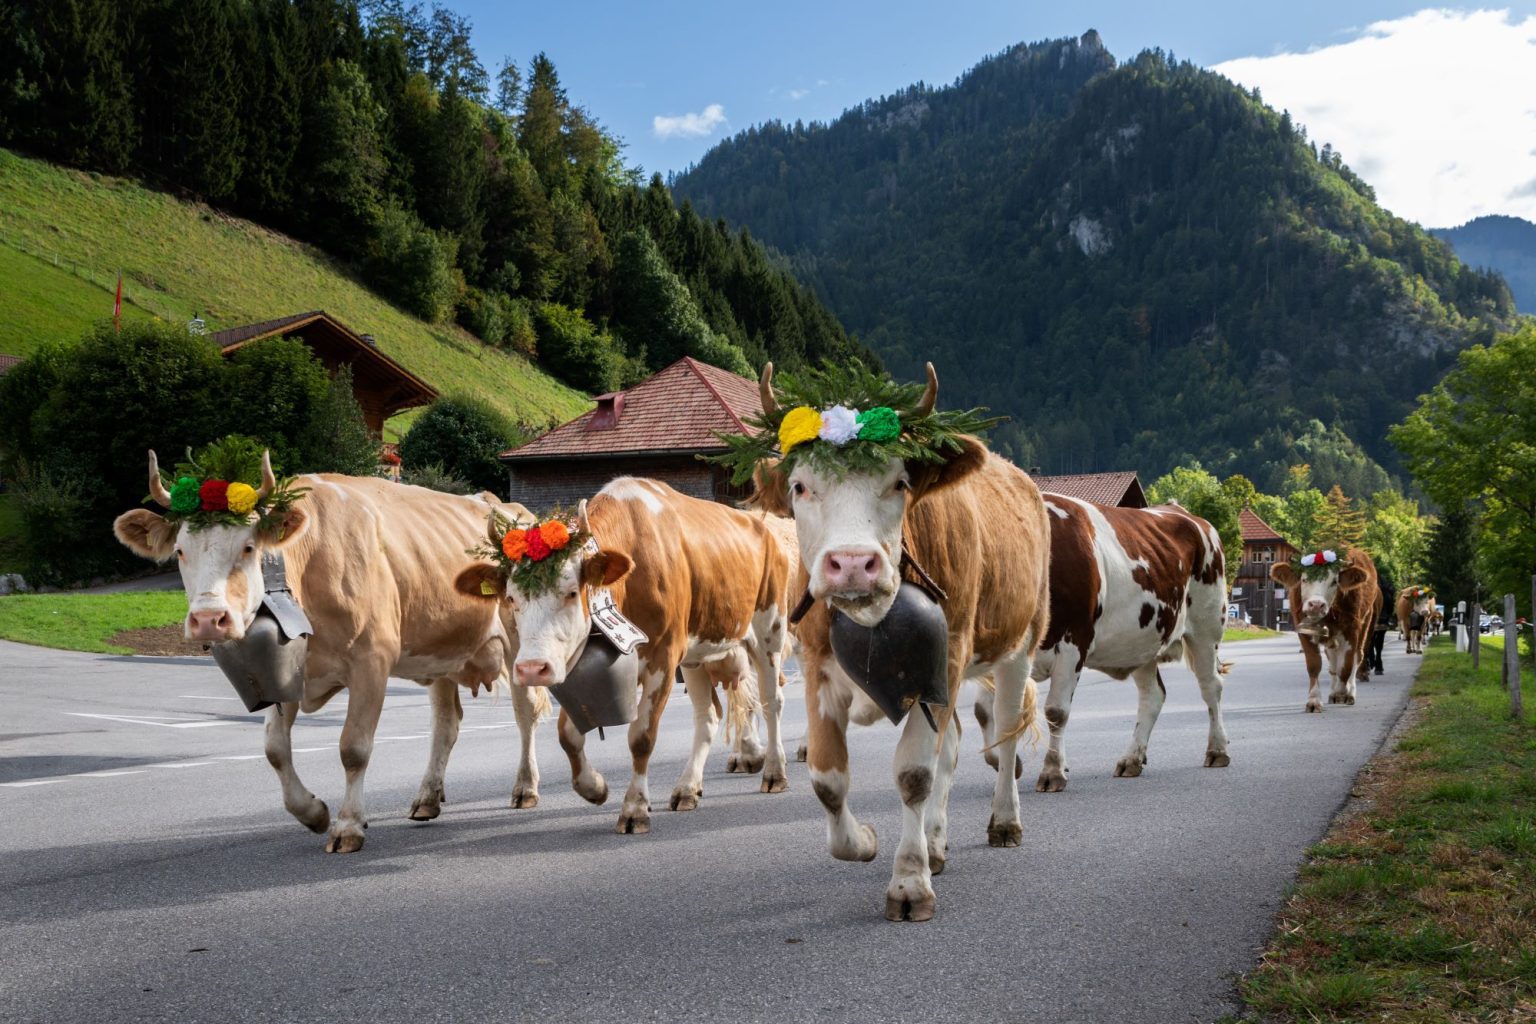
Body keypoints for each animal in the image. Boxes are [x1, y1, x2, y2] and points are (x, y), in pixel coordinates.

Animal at [451, 475, 792, 835]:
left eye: (571, 592)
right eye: (512, 598)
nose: (532, 668)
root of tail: (764, 527)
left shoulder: (663, 657)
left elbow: (641, 737)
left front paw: (634, 809)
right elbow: (567, 735)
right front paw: (594, 786)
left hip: (770, 628)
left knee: (771, 701)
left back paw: (775, 772)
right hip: (697, 653)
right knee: (708, 714)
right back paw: (688, 788)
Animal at [721, 363, 1056, 927]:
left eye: (899, 482)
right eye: (800, 486)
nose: (854, 563)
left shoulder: (942, 659)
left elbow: (914, 774)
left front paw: (909, 883)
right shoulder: (819, 667)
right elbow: (827, 778)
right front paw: (866, 840)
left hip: (1020, 643)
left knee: (1006, 733)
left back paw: (1004, 822)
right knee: (955, 743)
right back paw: (936, 844)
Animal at [976, 497, 1228, 792]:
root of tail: (1182, 511)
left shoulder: (1073, 643)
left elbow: (1056, 712)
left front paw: (1053, 771)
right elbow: (983, 711)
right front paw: (1008, 762)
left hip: (1206, 627)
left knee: (1211, 686)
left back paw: (1217, 750)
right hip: (1142, 641)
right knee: (1153, 695)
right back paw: (1131, 759)